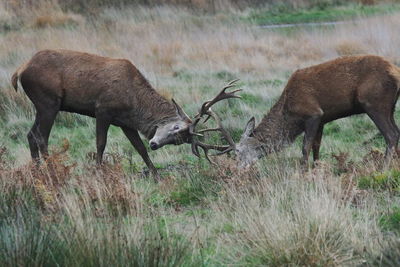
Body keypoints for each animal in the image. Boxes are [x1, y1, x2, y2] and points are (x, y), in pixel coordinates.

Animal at [10, 49, 239, 178]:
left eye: (178, 141)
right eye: (175, 127)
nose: (155, 144)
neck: (133, 102)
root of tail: (20, 70)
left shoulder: (125, 123)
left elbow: (140, 149)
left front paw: (155, 174)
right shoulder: (102, 109)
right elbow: (101, 143)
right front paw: (99, 171)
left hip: (43, 105)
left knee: (31, 134)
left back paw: (38, 170)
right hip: (48, 101)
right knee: (41, 136)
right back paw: (51, 169)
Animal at [233, 55, 400, 170]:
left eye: (239, 150)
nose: (237, 168)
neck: (290, 117)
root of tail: (396, 72)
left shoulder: (313, 114)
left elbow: (305, 147)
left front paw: (302, 172)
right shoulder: (322, 120)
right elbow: (316, 146)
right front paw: (316, 168)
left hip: (374, 103)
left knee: (391, 134)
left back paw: (383, 168)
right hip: (390, 107)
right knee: (397, 132)